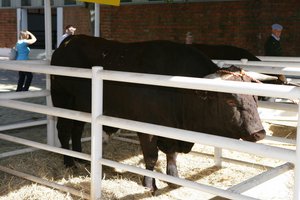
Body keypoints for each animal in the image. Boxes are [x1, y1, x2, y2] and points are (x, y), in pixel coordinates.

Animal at [50, 35, 266, 191]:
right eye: (230, 100)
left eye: (255, 97)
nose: (259, 132)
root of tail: (69, 41)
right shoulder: (147, 129)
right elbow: (151, 157)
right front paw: (149, 184)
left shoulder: (172, 132)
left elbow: (172, 155)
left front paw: (173, 178)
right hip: (62, 100)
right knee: (64, 129)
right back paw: (68, 161)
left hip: (82, 106)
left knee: (77, 129)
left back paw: (79, 157)